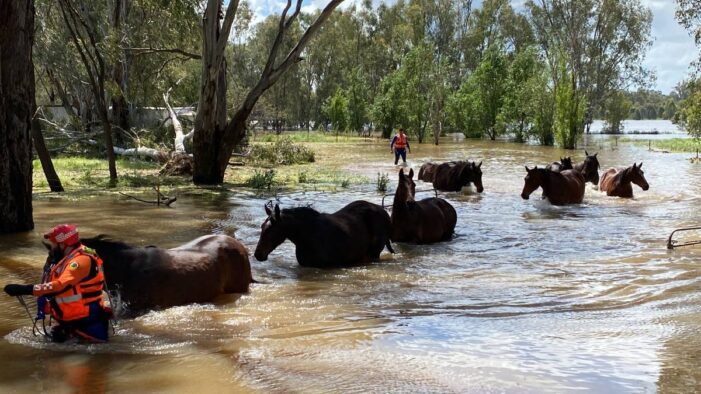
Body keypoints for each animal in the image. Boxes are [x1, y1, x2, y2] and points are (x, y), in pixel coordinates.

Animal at [253, 200, 394, 268]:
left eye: (271, 230)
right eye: (262, 227)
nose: (258, 254)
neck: (303, 238)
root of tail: (386, 214)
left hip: (374, 253)